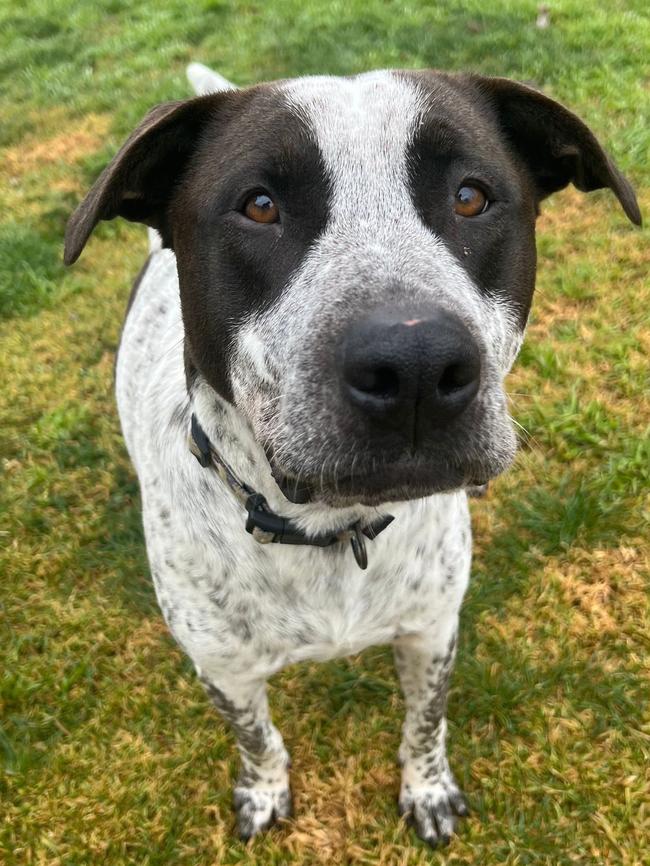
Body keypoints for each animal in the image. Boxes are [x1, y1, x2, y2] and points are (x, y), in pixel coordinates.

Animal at [64, 66, 636, 844]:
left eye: (471, 195)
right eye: (259, 206)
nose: (416, 366)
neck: (328, 533)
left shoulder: (432, 632)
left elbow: (426, 724)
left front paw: (427, 789)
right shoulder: (225, 669)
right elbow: (256, 738)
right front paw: (265, 790)